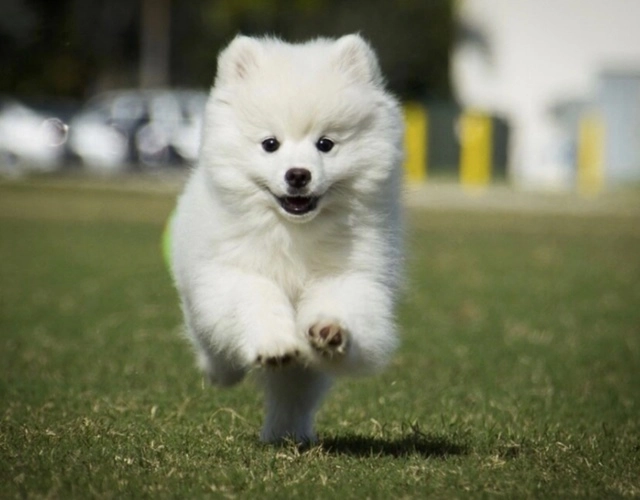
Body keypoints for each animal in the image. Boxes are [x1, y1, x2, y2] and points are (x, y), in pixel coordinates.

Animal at [170, 34, 404, 442]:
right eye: (270, 144)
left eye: (325, 144)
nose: (298, 174)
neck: (294, 232)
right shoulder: (232, 272)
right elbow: (258, 297)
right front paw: (275, 343)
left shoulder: (351, 275)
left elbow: (342, 306)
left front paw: (329, 330)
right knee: (214, 346)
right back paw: (222, 373)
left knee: (293, 393)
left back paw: (286, 433)